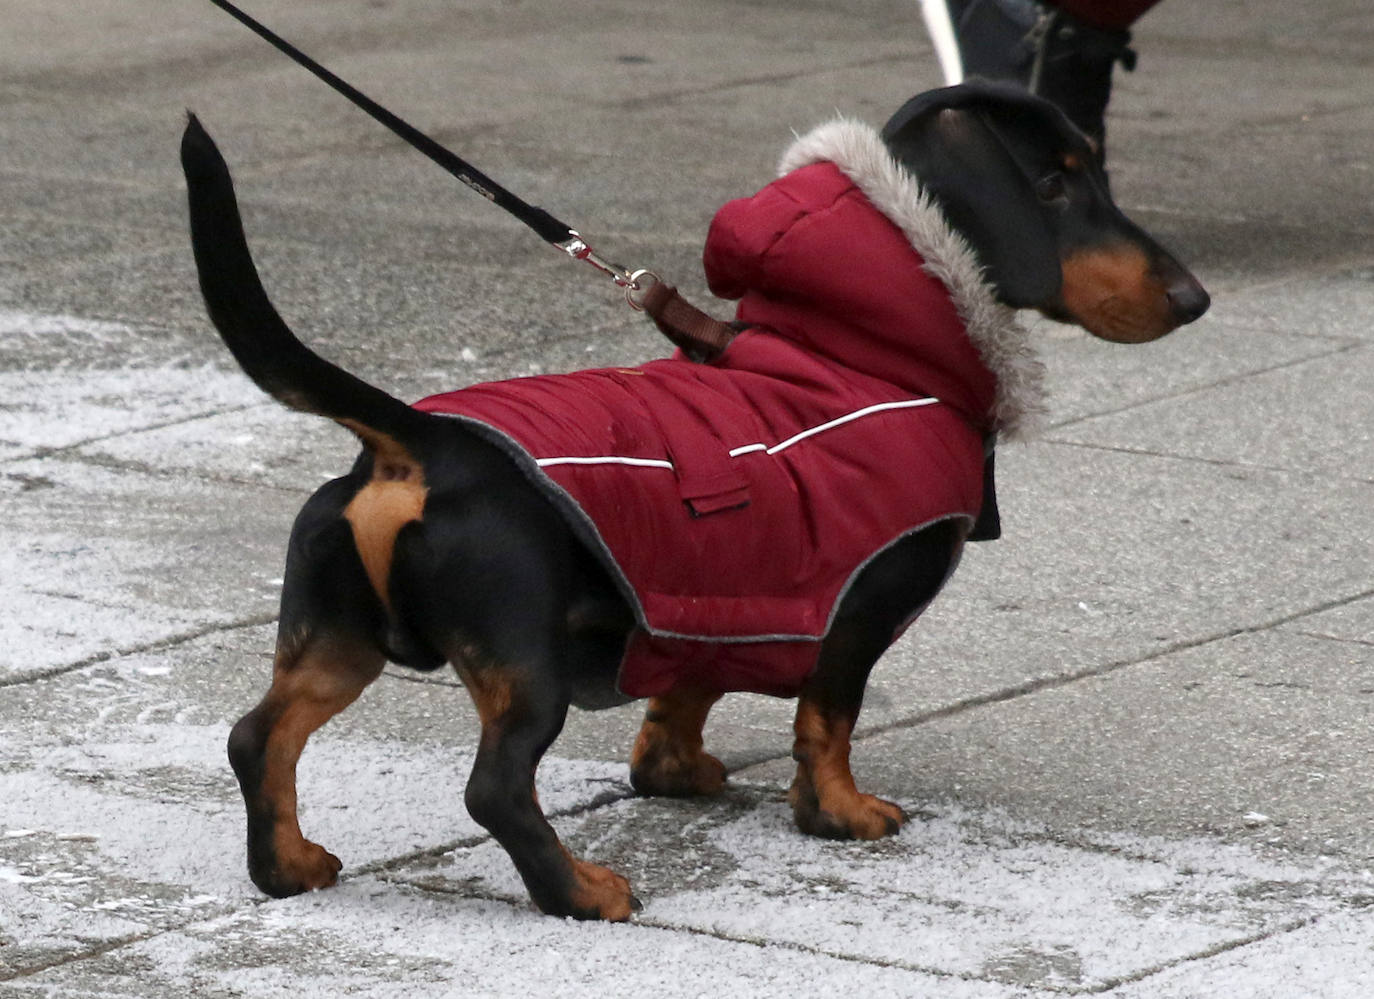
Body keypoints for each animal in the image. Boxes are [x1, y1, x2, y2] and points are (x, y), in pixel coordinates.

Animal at [179, 82, 1203, 917]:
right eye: (1053, 187)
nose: (1194, 298)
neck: (856, 351)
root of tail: (423, 442)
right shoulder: (854, 609)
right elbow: (827, 720)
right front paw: (839, 812)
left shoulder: (714, 596)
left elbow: (687, 691)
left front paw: (675, 772)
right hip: (524, 661)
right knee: (495, 789)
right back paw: (582, 892)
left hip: (335, 639)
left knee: (258, 737)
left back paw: (287, 866)